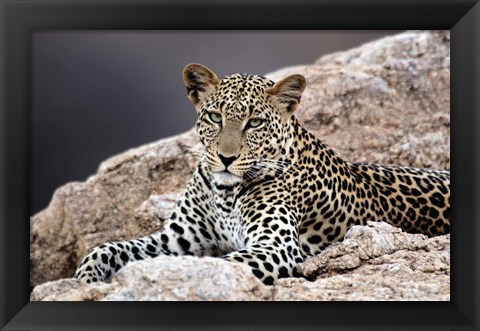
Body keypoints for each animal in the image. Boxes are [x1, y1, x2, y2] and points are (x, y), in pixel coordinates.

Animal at [74, 63, 450, 286]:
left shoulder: (276, 246)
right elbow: (106, 248)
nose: (226, 158)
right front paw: (85, 278)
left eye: (254, 122)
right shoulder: (176, 239)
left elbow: (223, 264)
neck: (225, 194)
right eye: (215, 117)